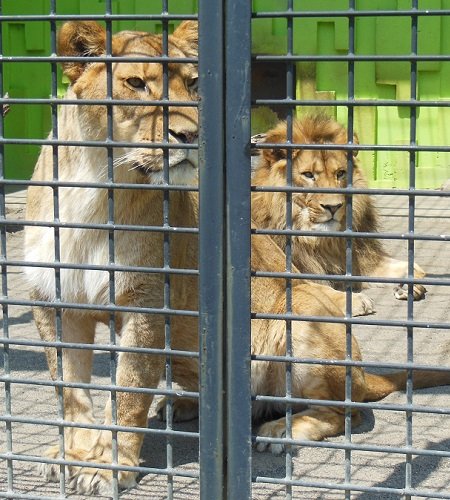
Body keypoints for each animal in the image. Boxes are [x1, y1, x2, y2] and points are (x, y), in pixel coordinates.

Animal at [24, 20, 200, 496]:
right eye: (136, 83)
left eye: (194, 84)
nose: (191, 135)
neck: (94, 187)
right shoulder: (54, 301)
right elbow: (68, 388)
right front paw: (72, 455)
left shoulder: (145, 303)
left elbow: (128, 392)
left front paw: (108, 467)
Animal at [251, 114, 428, 300]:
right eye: (308, 175)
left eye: (340, 173)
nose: (333, 207)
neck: (322, 242)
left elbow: (414, 267)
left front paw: (409, 285)